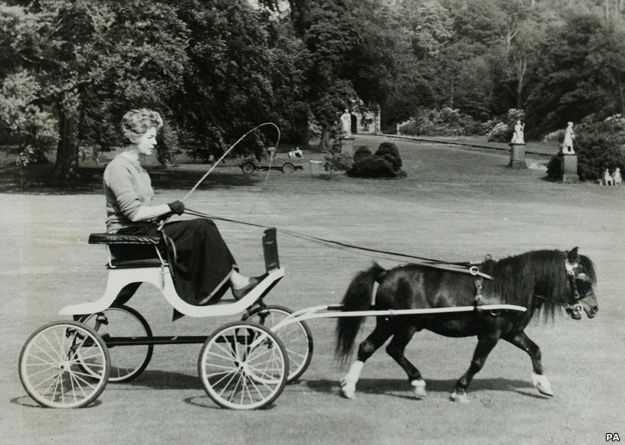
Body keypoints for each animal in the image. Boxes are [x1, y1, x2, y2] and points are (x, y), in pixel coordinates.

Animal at [334, 246, 596, 402]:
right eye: (583, 279)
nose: (594, 308)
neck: (505, 286)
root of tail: (385, 273)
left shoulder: (512, 332)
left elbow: (535, 350)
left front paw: (543, 384)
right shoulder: (490, 335)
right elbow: (478, 362)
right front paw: (459, 389)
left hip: (388, 323)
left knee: (367, 347)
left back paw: (349, 386)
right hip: (405, 325)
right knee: (394, 349)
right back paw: (416, 382)